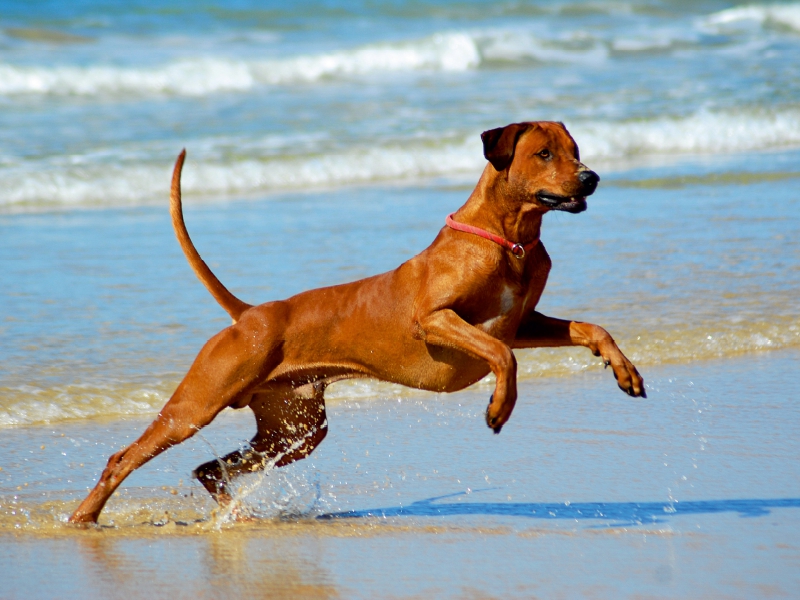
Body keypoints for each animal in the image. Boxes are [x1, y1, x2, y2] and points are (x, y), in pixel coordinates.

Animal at [67, 119, 644, 524]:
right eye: (544, 154)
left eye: (575, 150)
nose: (591, 177)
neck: (510, 238)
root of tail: (250, 313)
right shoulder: (434, 320)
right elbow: (503, 356)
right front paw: (500, 406)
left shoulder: (523, 323)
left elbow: (590, 329)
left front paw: (624, 370)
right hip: (196, 406)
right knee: (123, 457)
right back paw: (84, 516)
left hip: (298, 429)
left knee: (210, 467)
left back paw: (237, 514)